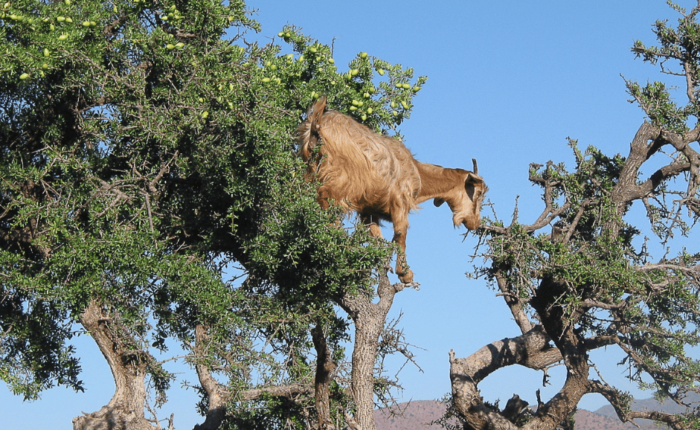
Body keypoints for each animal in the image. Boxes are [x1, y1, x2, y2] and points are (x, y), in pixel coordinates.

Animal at [296, 95, 486, 282]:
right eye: (478, 193)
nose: (475, 223)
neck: (418, 172)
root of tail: (318, 123)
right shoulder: (400, 201)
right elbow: (401, 233)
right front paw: (405, 273)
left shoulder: (368, 210)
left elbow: (377, 237)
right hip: (342, 180)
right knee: (324, 196)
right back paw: (336, 235)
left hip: (309, 171)